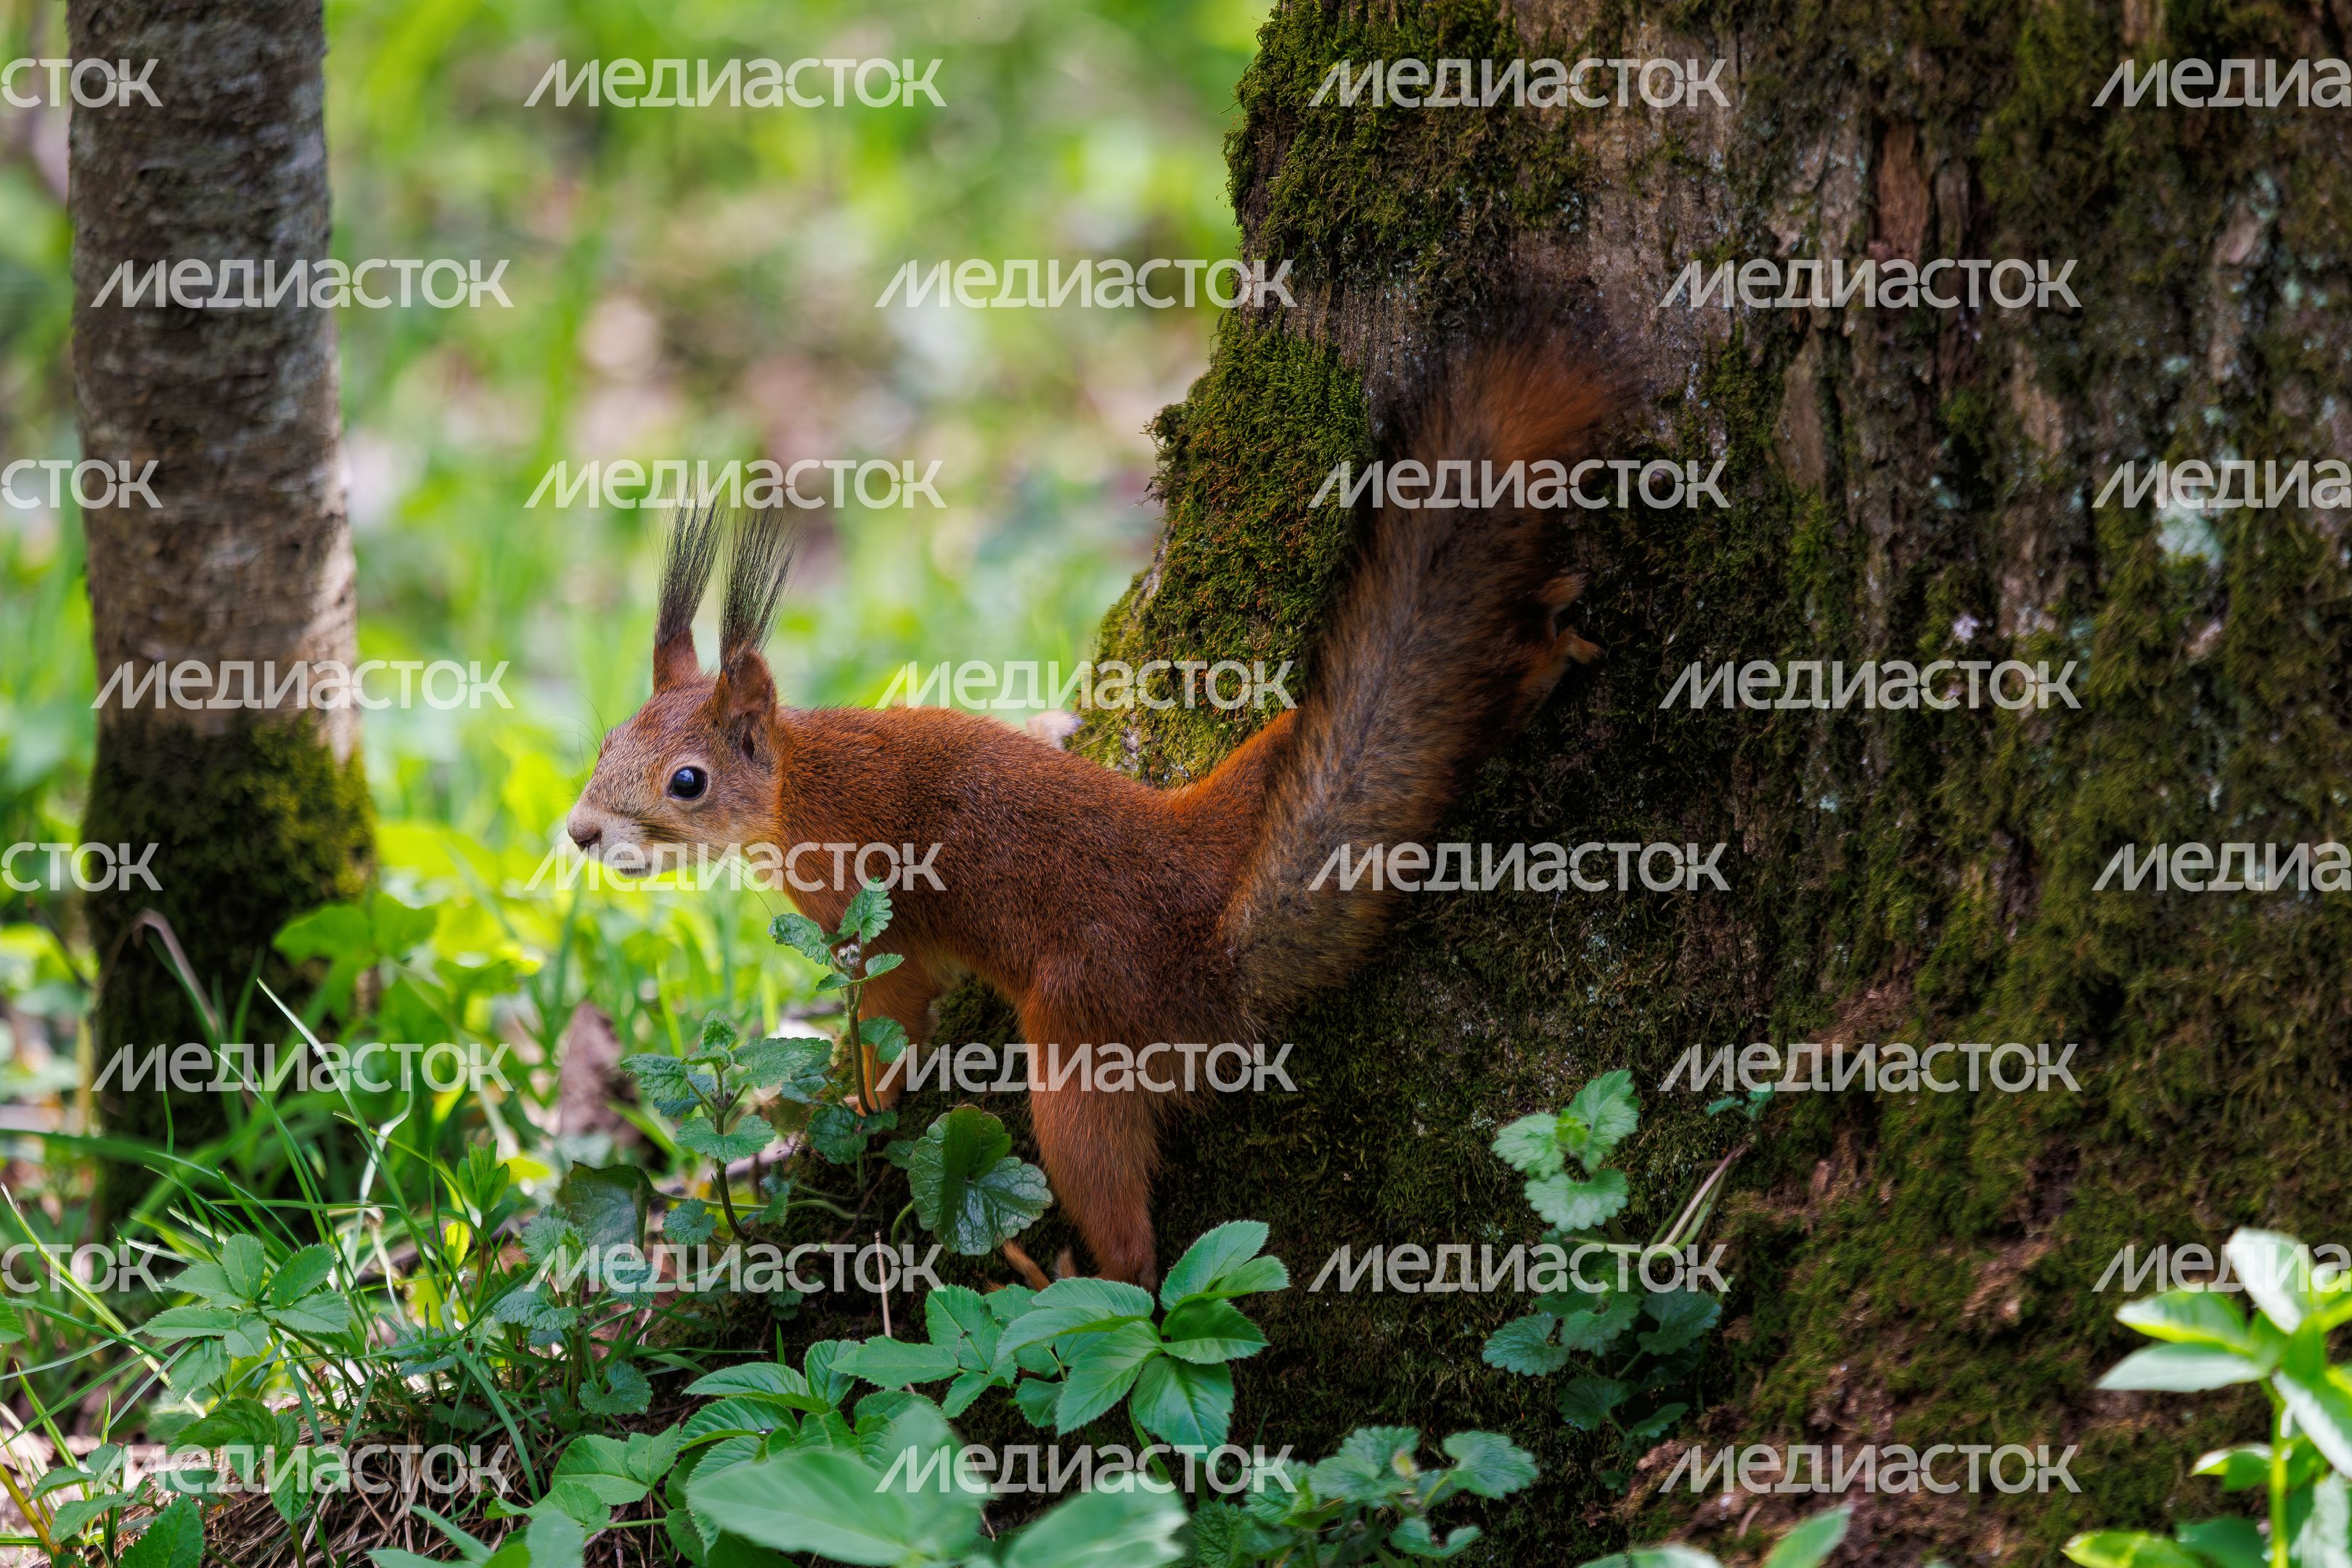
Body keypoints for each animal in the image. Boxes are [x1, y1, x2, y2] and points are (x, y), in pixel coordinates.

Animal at [565, 329, 1619, 1285]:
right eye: (609, 740)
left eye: (687, 782)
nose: (579, 833)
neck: (802, 779)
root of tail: (1215, 946)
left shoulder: (866, 916)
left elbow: (894, 1016)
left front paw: (855, 1102)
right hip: (1268, 768)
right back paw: (1536, 660)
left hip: (1081, 1044)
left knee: (1126, 1231)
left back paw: (1067, 1280)